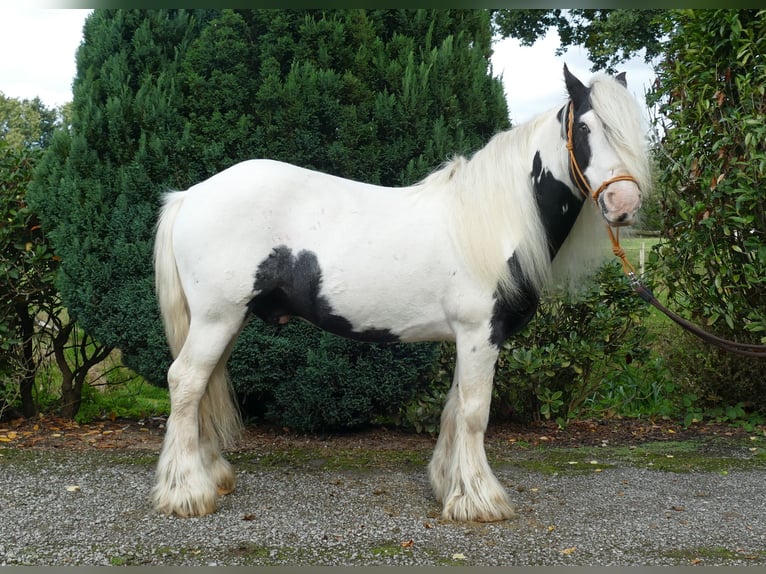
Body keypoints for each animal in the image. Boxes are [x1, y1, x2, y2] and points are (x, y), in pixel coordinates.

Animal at [152, 65, 656, 524]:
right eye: (586, 128)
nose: (624, 205)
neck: (494, 222)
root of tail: (190, 195)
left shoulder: (469, 338)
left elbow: (455, 408)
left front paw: (449, 485)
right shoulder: (481, 333)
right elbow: (475, 412)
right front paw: (480, 500)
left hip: (226, 320)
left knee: (204, 385)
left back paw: (210, 475)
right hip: (217, 318)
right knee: (186, 382)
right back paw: (186, 492)